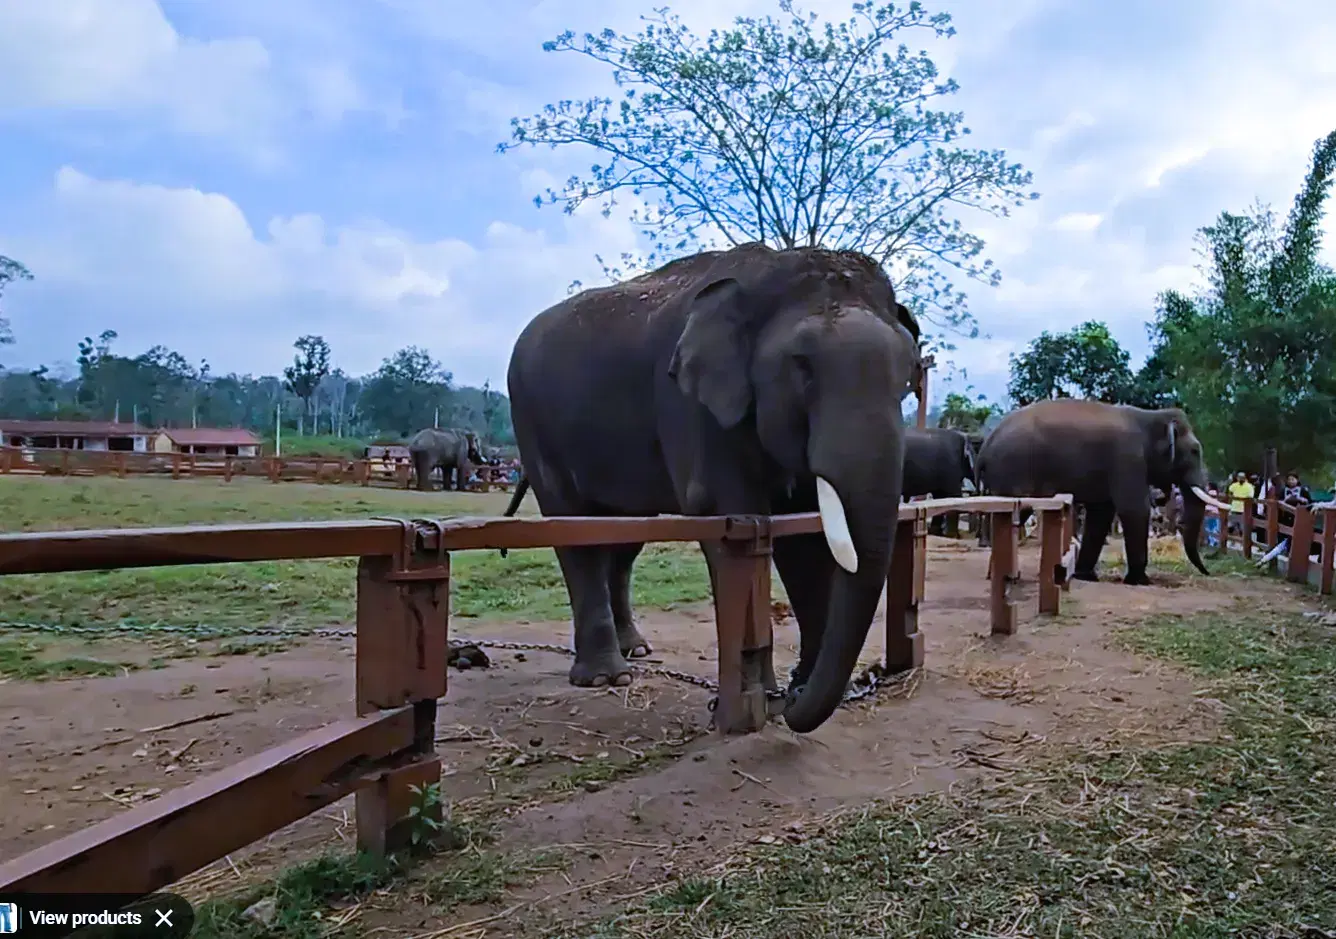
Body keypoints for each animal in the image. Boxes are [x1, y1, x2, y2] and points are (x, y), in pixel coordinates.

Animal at [506, 242, 923, 734]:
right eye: (802, 366)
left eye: (909, 375)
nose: (793, 695)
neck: (773, 269)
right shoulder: (691, 405)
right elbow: (729, 516)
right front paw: (751, 705)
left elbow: (801, 538)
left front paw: (783, 697)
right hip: (533, 422)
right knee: (573, 529)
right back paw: (606, 677)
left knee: (624, 537)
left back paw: (636, 650)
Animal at [974, 398, 1233, 585]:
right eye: (1195, 451)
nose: (1207, 572)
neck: (1149, 415)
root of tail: (985, 447)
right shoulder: (1127, 459)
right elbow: (1134, 509)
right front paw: (1140, 581)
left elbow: (1101, 513)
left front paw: (1086, 576)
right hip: (1014, 470)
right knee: (1016, 513)